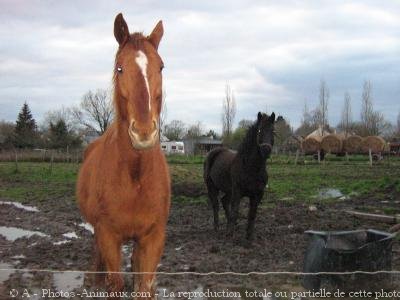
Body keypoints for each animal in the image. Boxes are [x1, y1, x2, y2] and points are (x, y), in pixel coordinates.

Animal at [77, 12, 170, 296]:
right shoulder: (108, 236)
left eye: (161, 67)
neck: (135, 176)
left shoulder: (153, 238)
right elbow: (115, 284)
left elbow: (144, 286)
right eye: (120, 68)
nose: (143, 131)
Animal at [203, 112, 276, 241]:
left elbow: (252, 214)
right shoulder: (238, 192)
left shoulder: (258, 195)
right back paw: (217, 227)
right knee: (216, 205)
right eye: (259, 130)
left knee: (224, 201)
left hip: (229, 190)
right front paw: (229, 235)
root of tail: (213, 152)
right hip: (212, 187)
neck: (251, 168)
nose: (266, 150)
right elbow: (235, 211)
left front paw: (249, 237)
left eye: (273, 131)